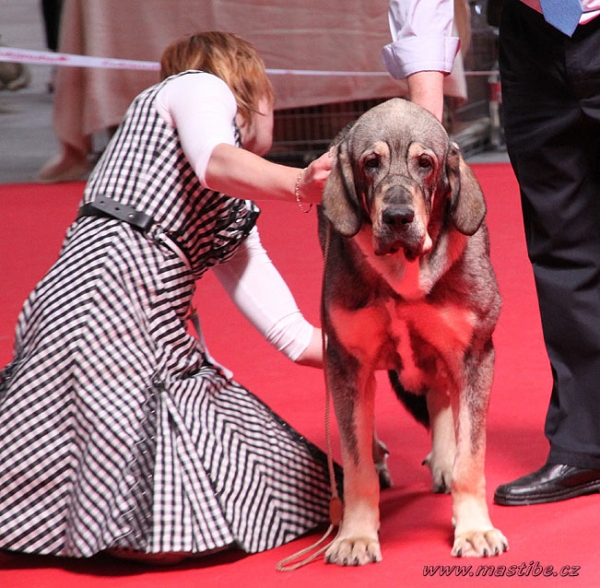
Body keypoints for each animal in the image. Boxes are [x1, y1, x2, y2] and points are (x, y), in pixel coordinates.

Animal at [318, 97, 506, 564]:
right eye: (370, 163)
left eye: (426, 163)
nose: (398, 217)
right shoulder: (345, 360)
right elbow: (355, 462)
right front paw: (355, 535)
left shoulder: (474, 356)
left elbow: (470, 457)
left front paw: (474, 529)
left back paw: (442, 460)